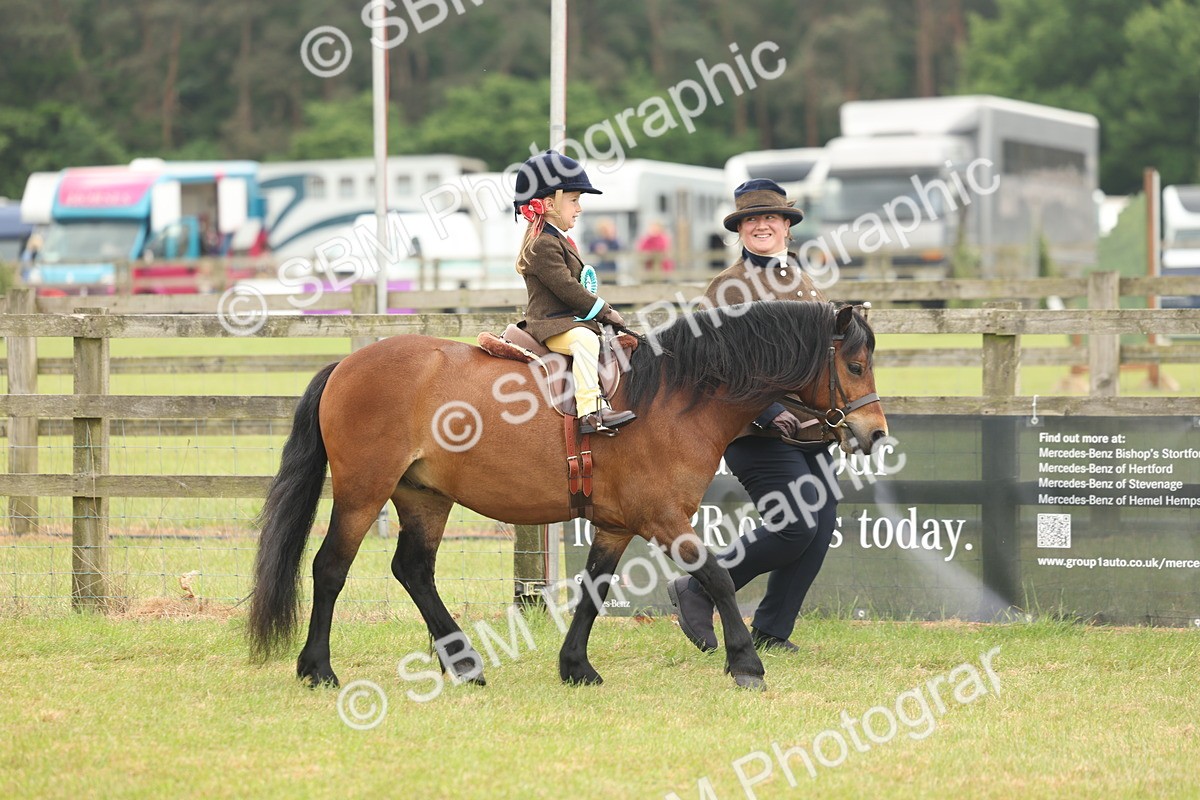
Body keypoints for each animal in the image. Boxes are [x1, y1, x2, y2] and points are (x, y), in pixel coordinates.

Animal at [248, 300, 887, 691]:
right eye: (855, 365)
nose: (875, 432)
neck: (671, 398)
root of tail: (346, 364)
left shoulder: (617, 524)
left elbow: (593, 591)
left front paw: (576, 665)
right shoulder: (665, 519)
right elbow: (719, 578)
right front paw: (746, 662)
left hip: (423, 496)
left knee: (413, 570)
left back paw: (463, 662)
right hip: (364, 493)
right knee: (330, 568)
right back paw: (318, 668)